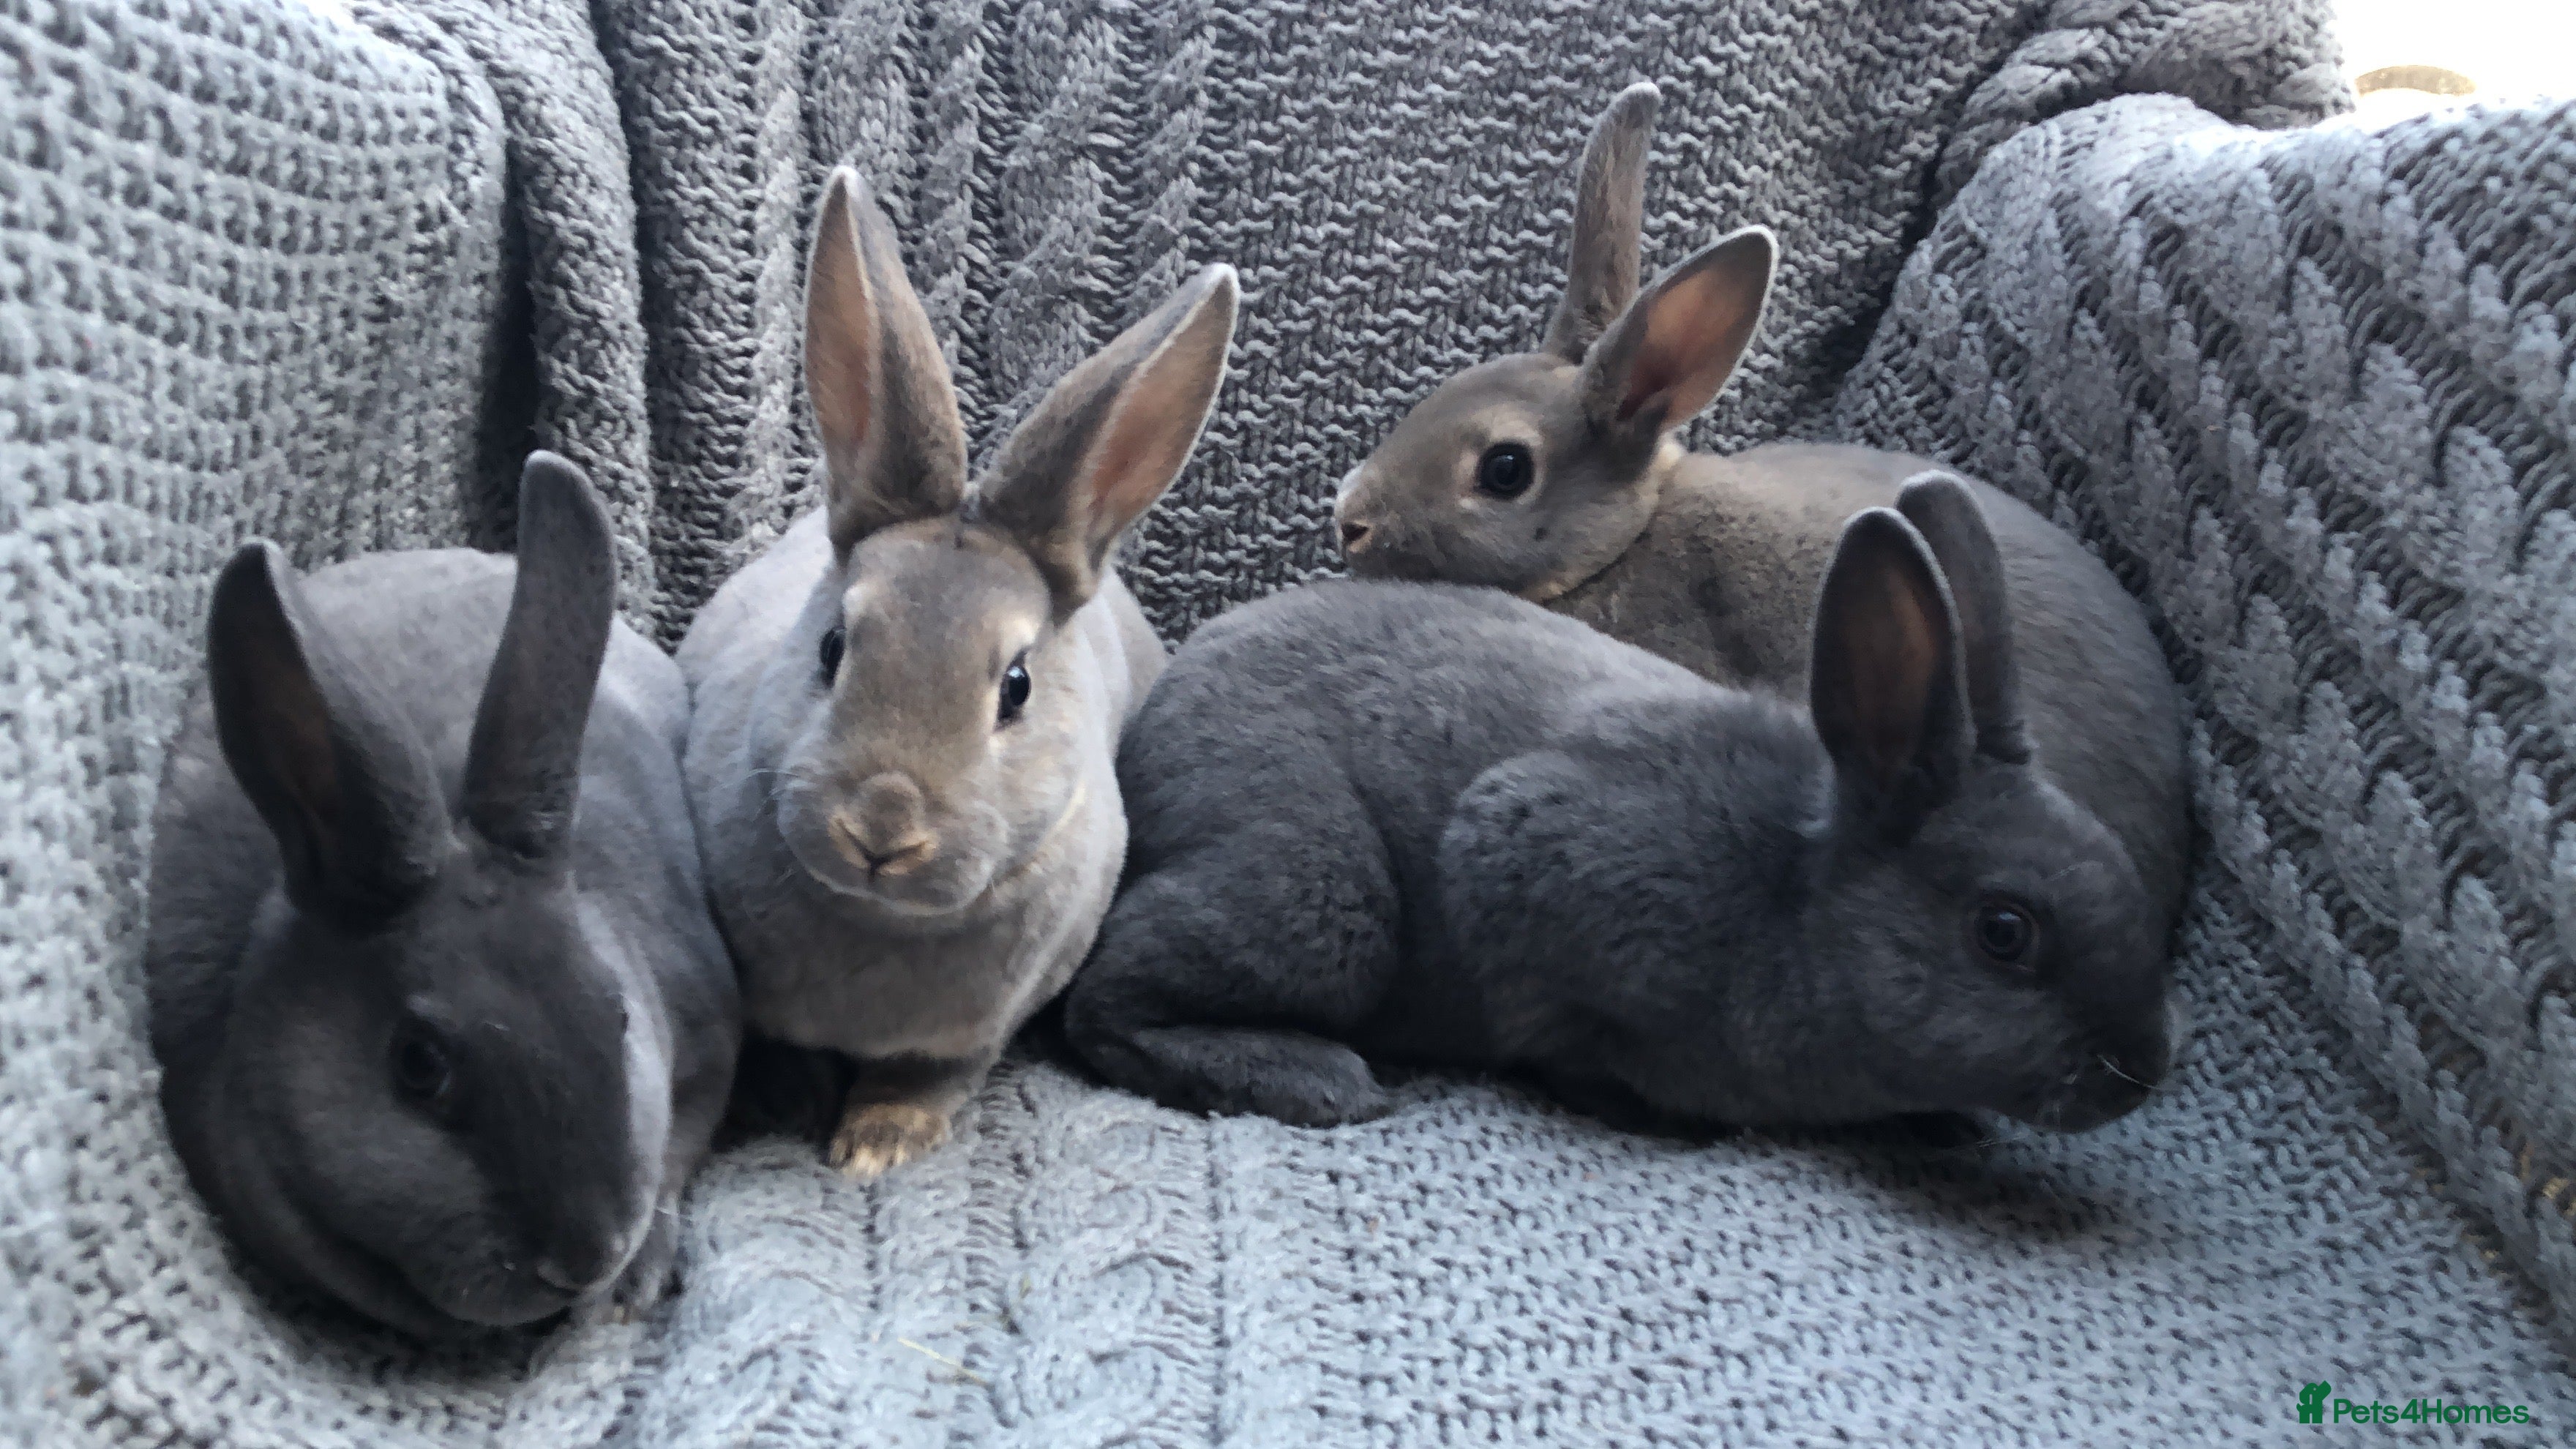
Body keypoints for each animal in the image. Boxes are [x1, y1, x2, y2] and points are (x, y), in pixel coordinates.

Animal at [678, 167, 1237, 1179]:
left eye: (1016, 686)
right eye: (832, 646)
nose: (881, 829)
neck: (882, 919)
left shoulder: (980, 1028)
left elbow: (932, 1076)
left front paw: (877, 1144)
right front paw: (787, 1102)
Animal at [1063, 474, 2173, 1136]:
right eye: (2004, 931)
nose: (2145, 1068)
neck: (1792, 899)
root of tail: (1152, 722)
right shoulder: (1519, 847)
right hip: (1322, 902)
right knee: (1107, 995)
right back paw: (1316, 1080)